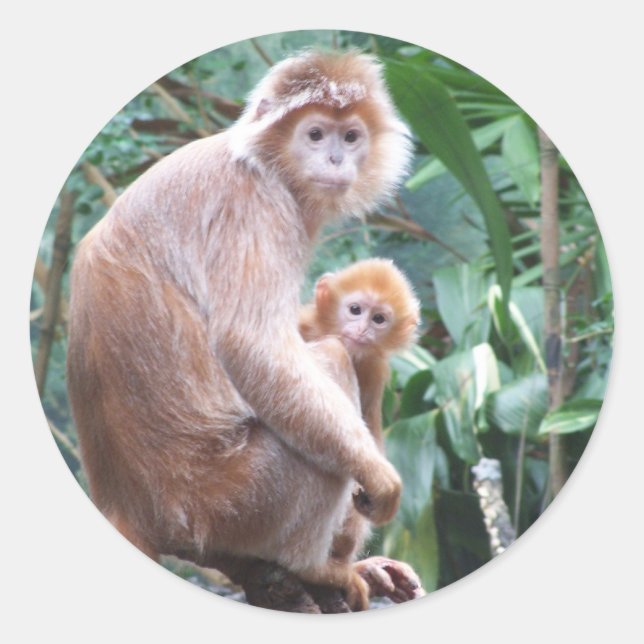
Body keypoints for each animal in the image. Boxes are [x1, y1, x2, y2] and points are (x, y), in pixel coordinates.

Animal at [66, 50, 422, 612]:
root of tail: (133, 509)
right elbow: (253, 347)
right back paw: (314, 566)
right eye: (315, 135)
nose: (336, 160)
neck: (263, 161)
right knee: (328, 362)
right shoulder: (254, 204)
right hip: (235, 500)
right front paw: (378, 478)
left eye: (350, 137)